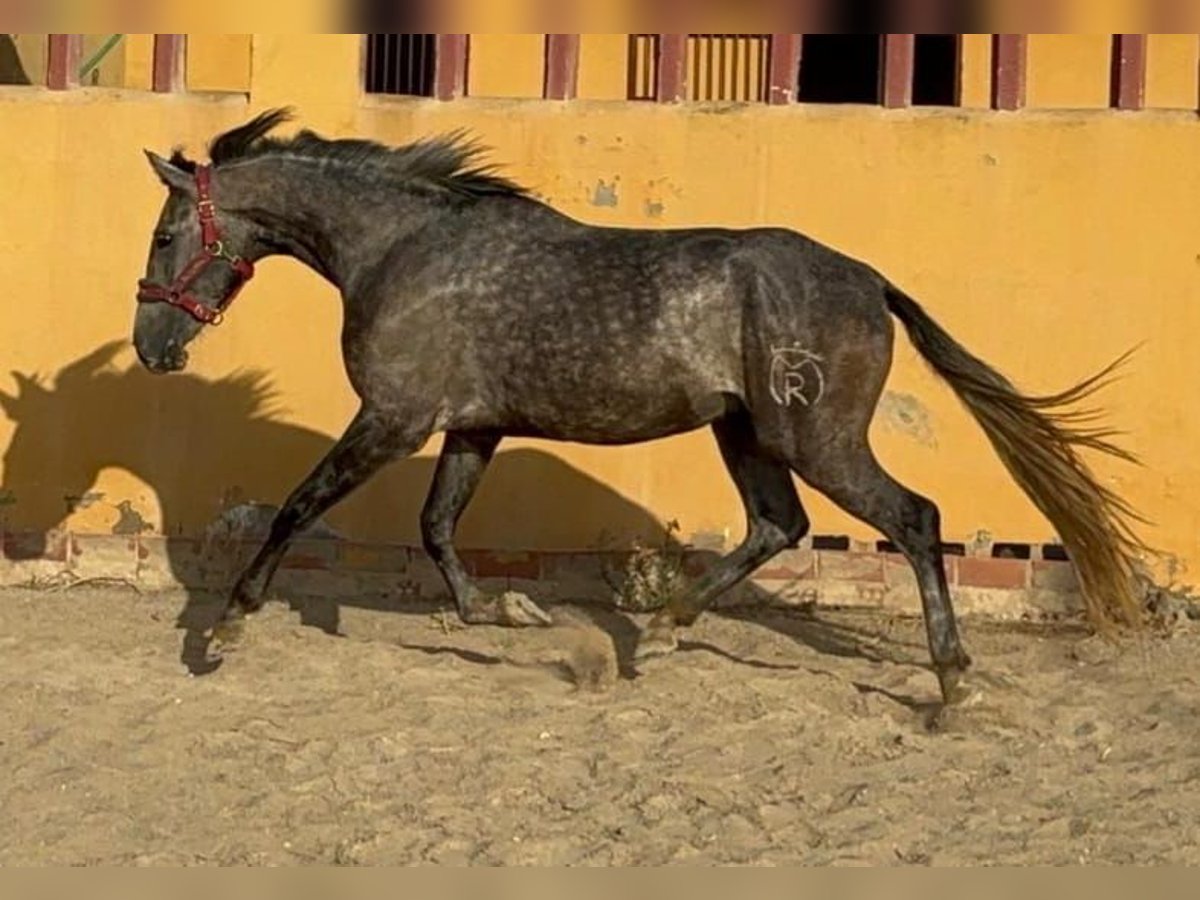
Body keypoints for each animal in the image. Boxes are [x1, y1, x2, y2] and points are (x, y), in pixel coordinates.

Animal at [133, 109, 1152, 710]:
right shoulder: (470, 424)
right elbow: (436, 527)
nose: (151, 348)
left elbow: (299, 506)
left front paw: (222, 629)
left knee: (912, 518)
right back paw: (657, 636)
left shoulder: (395, 418)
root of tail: (869, 281)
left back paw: (949, 680)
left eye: (166, 232)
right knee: (778, 525)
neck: (401, 248)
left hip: (815, 437)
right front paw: (511, 614)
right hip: (746, 432)